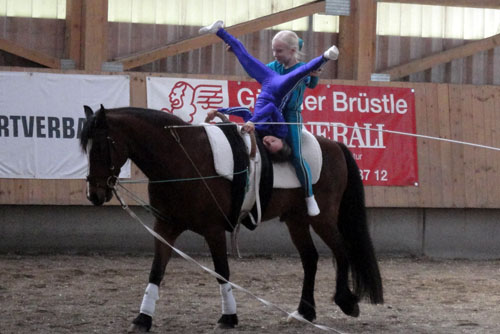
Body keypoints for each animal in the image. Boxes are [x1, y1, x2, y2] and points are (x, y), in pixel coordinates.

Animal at [81, 104, 382, 332]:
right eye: (85, 148)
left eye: (100, 147)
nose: (94, 193)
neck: (183, 158)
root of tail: (334, 144)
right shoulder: (165, 226)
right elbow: (156, 271)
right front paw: (143, 318)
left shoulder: (213, 229)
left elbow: (221, 271)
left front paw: (229, 316)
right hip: (296, 219)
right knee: (310, 258)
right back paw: (303, 312)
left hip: (322, 218)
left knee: (341, 251)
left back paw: (346, 301)